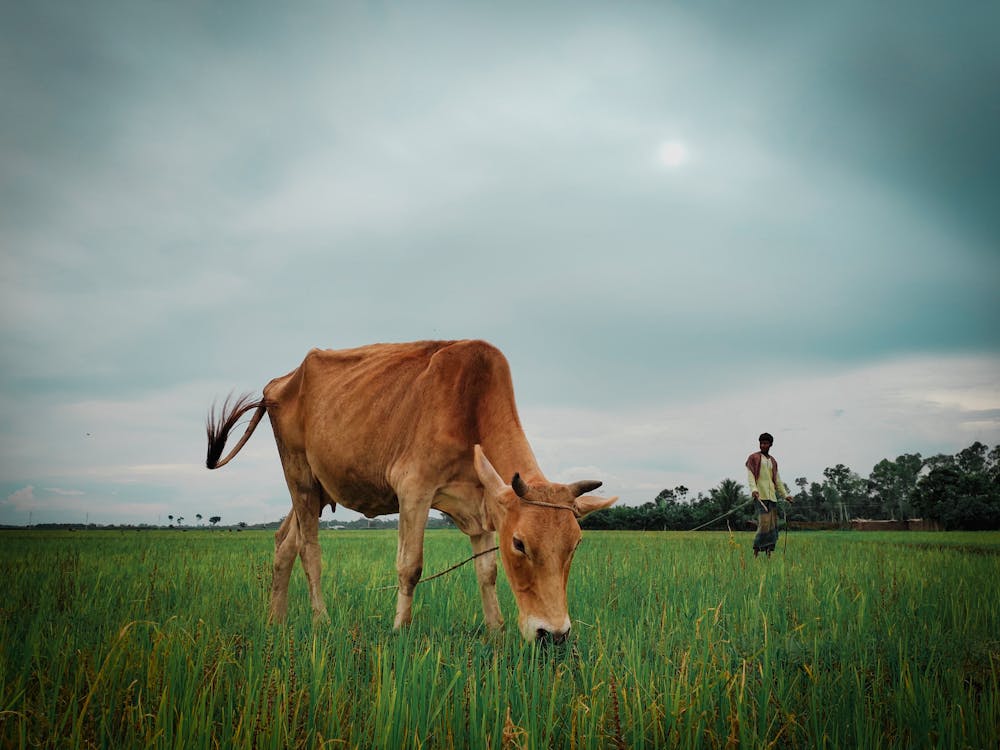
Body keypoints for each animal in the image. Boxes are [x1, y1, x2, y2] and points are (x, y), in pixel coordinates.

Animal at [206, 342, 612, 648]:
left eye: (575, 544)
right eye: (520, 544)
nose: (553, 635)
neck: (470, 404)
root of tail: (278, 384)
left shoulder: (481, 505)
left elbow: (487, 572)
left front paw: (496, 631)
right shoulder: (414, 490)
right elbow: (410, 566)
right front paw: (400, 629)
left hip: (317, 490)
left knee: (283, 543)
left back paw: (275, 621)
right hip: (299, 477)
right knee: (309, 550)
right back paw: (322, 620)